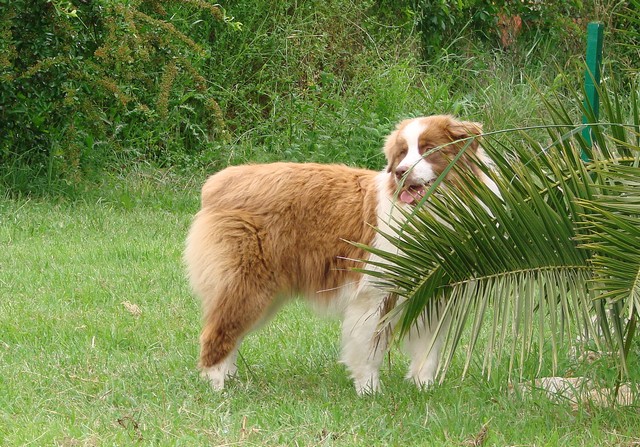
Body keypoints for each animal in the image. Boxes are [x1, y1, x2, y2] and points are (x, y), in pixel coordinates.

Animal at [182, 115, 498, 396]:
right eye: (402, 153)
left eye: (429, 149)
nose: (400, 172)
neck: (430, 214)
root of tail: (220, 180)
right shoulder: (374, 293)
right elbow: (368, 349)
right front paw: (369, 392)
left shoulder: (435, 294)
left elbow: (428, 351)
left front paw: (425, 390)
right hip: (247, 286)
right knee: (216, 334)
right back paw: (218, 388)